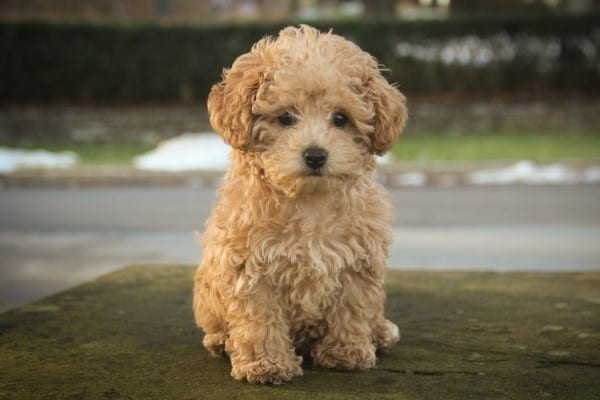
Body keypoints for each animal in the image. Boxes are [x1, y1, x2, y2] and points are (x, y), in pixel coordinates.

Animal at [192, 25, 408, 384]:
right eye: (285, 117)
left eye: (340, 118)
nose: (316, 155)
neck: (309, 201)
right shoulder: (249, 263)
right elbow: (259, 318)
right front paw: (266, 364)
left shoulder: (359, 259)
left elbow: (351, 308)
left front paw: (346, 352)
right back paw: (222, 341)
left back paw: (379, 332)